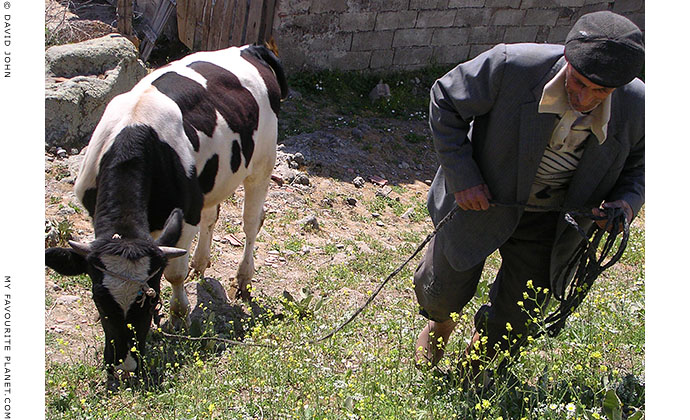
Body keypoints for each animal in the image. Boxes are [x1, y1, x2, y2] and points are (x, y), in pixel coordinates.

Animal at [45, 43, 288, 388]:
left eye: (148, 300)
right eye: (99, 300)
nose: (125, 364)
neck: (135, 130)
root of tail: (249, 48)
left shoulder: (184, 218)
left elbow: (174, 273)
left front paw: (177, 316)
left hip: (262, 164)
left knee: (251, 224)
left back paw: (243, 279)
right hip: (210, 181)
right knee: (211, 216)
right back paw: (200, 263)